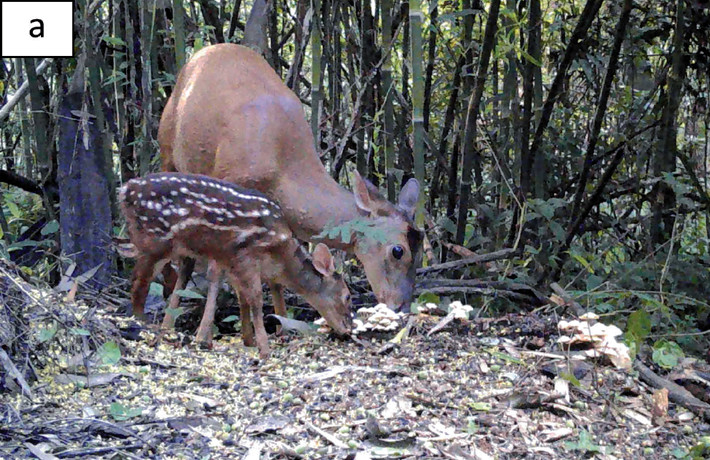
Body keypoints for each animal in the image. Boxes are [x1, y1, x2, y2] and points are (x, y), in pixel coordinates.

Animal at [123, 172, 358, 356]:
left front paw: (249, 341)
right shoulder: (245, 254)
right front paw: (264, 349)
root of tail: (125, 189)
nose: (349, 329)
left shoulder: (230, 261)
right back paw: (144, 325)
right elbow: (255, 299)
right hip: (155, 239)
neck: (279, 253)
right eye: (347, 296)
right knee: (137, 282)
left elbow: (242, 298)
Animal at [160, 44, 422, 312]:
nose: (401, 307)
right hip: (167, 149)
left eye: (421, 251)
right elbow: (219, 269)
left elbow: (274, 276)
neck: (282, 174)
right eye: (398, 251)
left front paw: (280, 319)